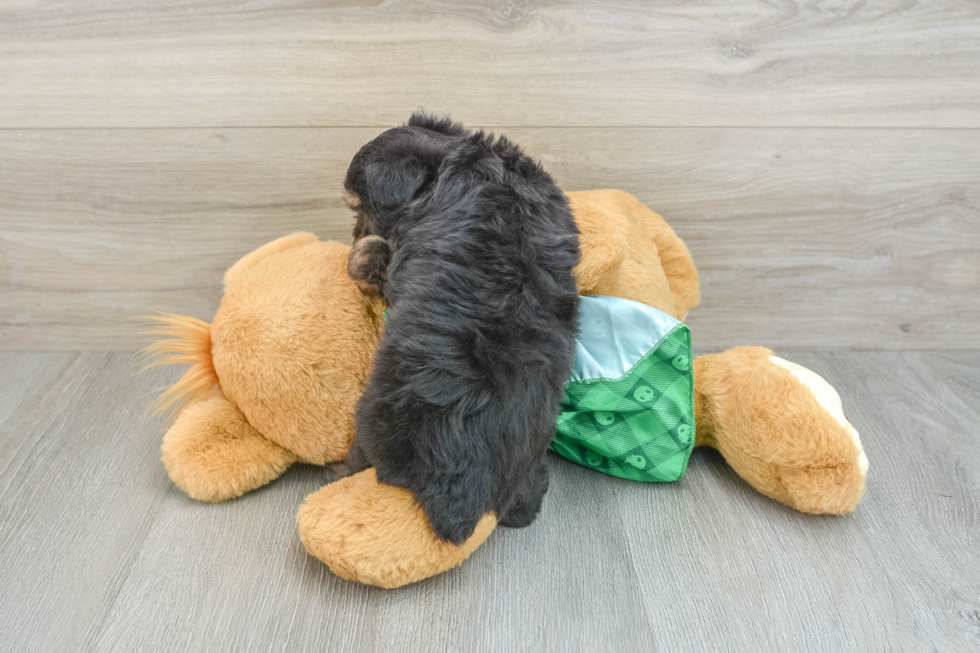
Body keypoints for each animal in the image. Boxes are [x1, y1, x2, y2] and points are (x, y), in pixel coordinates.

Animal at [340, 113, 580, 544]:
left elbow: (375, 258)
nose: (354, 234)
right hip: (532, 455)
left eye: (361, 209)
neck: (447, 159)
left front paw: (360, 257)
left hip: (372, 427)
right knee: (526, 501)